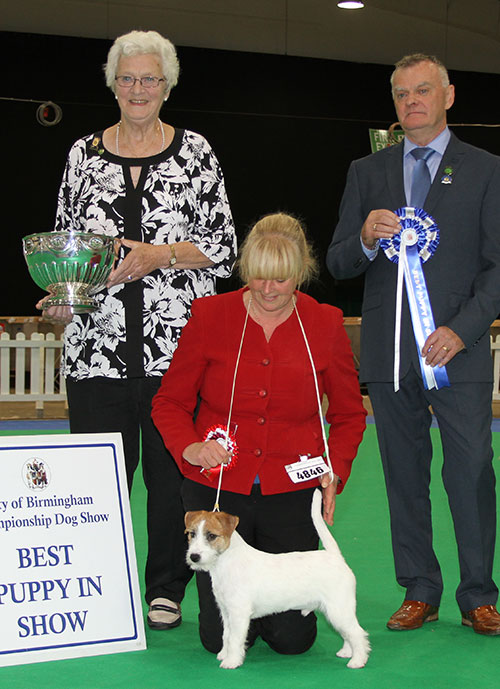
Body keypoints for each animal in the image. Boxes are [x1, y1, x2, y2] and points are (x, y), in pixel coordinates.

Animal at [186, 486, 370, 668]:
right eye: (191, 534)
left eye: (211, 536)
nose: (194, 557)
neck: (225, 562)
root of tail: (335, 556)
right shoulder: (225, 611)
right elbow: (226, 635)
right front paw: (224, 654)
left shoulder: (239, 613)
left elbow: (235, 639)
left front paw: (231, 661)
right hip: (336, 612)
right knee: (347, 633)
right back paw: (346, 652)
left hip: (339, 609)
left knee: (357, 632)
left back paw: (357, 660)